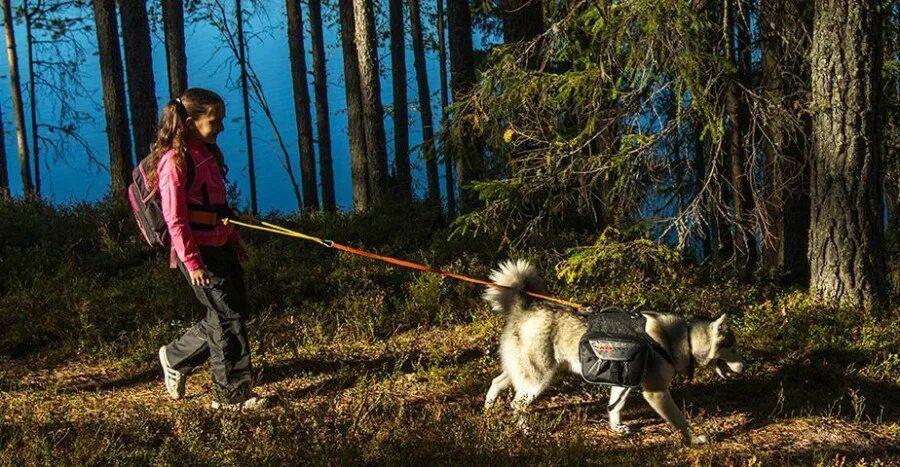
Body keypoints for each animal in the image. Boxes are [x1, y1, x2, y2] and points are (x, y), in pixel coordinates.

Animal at [486, 260, 744, 446]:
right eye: (732, 346)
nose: (746, 365)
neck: (683, 338)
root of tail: (524, 307)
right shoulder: (656, 392)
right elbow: (679, 421)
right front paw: (693, 440)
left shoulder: (623, 382)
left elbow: (615, 407)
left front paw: (615, 427)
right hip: (538, 380)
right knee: (517, 405)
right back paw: (525, 430)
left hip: (526, 373)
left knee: (496, 382)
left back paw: (488, 411)